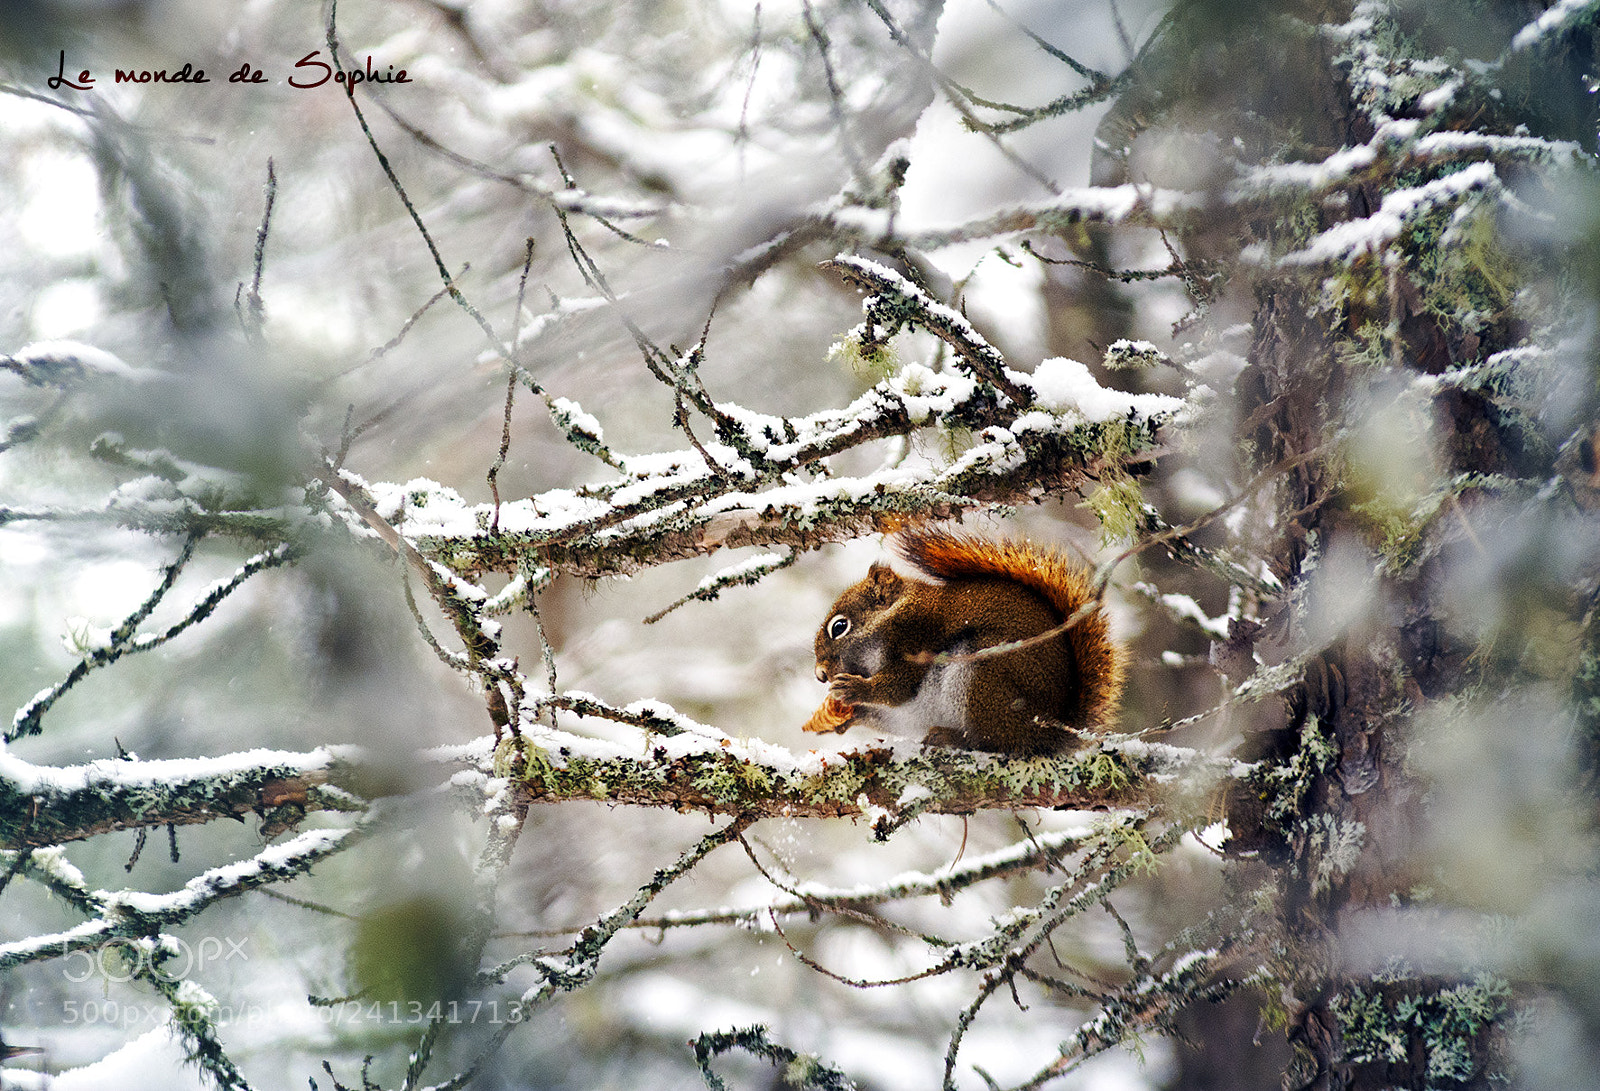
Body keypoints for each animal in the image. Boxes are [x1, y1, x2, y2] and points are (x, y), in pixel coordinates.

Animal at [802, 527, 1123, 755]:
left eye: (839, 626)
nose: (820, 675)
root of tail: (1050, 730)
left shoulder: (916, 639)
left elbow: (898, 687)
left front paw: (855, 688)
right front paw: (844, 717)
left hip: (984, 675)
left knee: (998, 741)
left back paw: (953, 737)